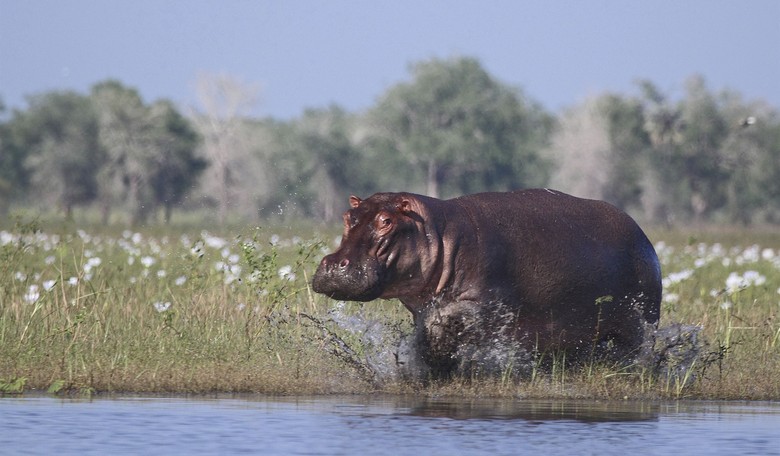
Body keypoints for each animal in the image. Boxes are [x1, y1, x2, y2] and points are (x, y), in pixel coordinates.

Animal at [312, 189, 662, 378]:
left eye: (386, 221)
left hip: (640, 322)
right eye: (346, 217)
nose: (333, 265)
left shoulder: (486, 307)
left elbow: (447, 323)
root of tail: (642, 233)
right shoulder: (421, 308)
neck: (437, 232)